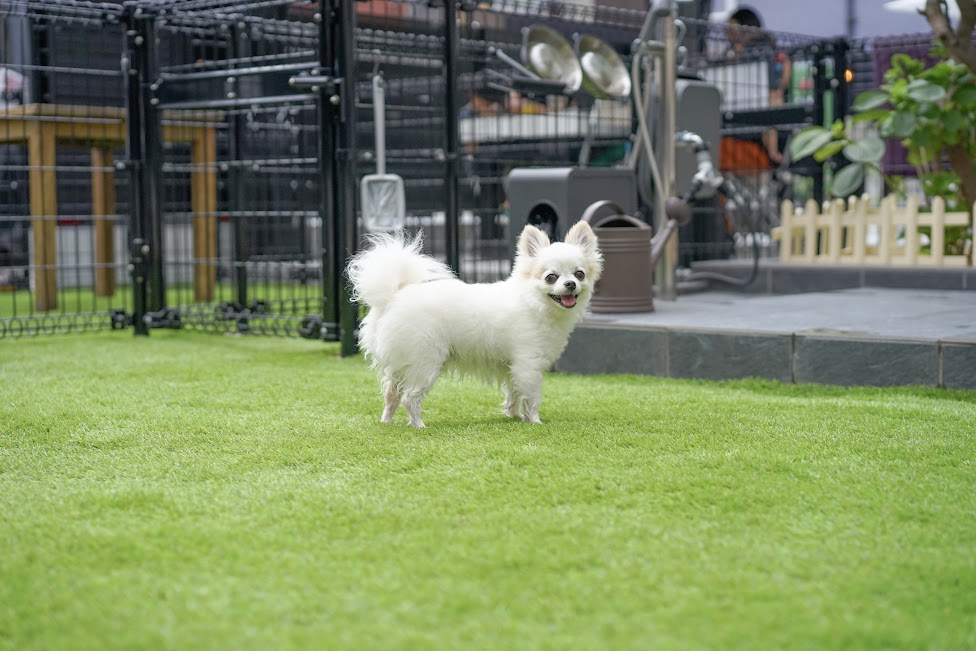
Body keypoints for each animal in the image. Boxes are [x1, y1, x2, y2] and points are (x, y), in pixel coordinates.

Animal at [344, 222, 604, 428]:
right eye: (551, 277)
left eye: (579, 274)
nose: (570, 284)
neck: (533, 302)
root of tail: (393, 297)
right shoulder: (528, 365)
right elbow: (531, 396)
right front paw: (534, 421)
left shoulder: (512, 367)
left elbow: (514, 393)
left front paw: (513, 416)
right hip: (424, 364)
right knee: (410, 399)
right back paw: (418, 425)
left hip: (401, 365)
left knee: (391, 395)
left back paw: (386, 422)